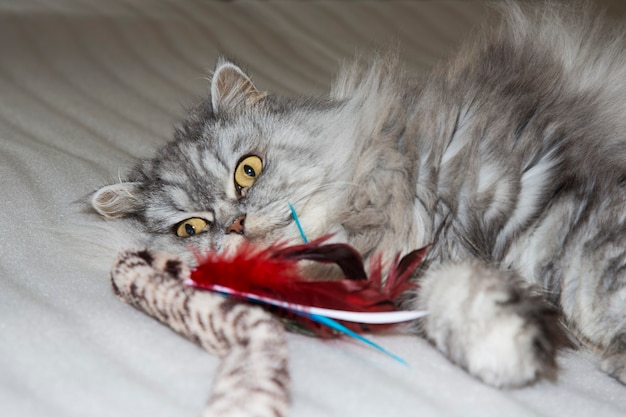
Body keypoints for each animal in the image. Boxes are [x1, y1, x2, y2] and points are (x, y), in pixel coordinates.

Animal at [91, 1, 624, 388]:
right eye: (192, 227)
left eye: (247, 170)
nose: (237, 223)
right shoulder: (412, 273)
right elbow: (453, 298)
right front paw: (510, 345)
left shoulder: (550, 206)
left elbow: (594, 287)